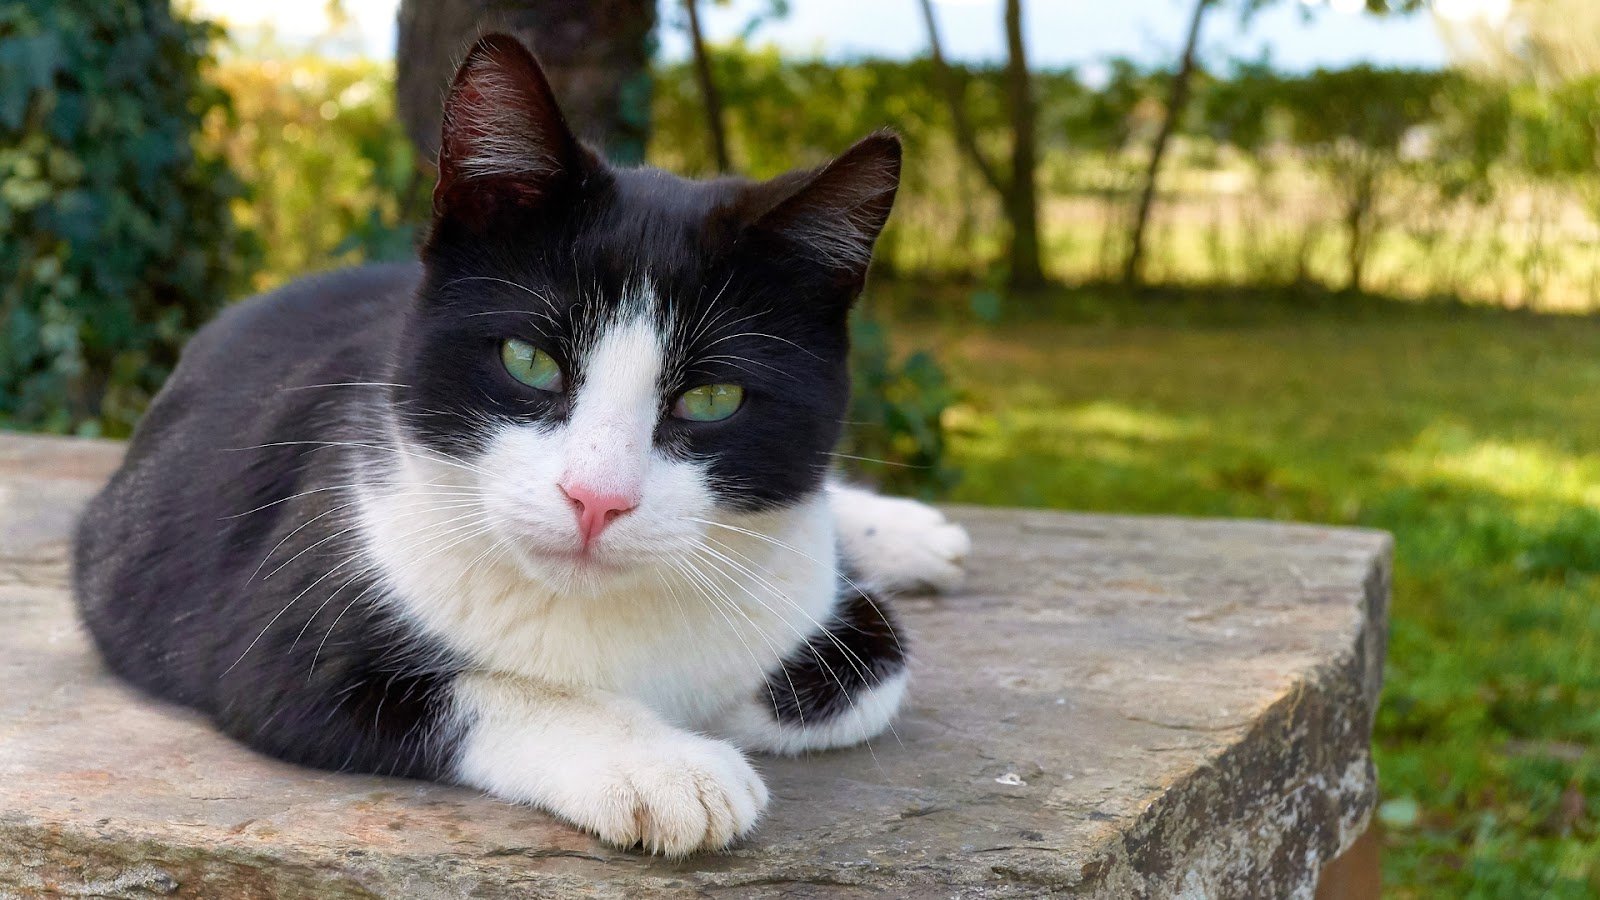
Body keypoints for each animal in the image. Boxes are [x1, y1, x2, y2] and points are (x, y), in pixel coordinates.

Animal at [75, 33, 966, 845]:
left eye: (713, 399)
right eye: (527, 359)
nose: (596, 499)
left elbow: (855, 673)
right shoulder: (279, 634)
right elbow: (480, 687)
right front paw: (663, 761)